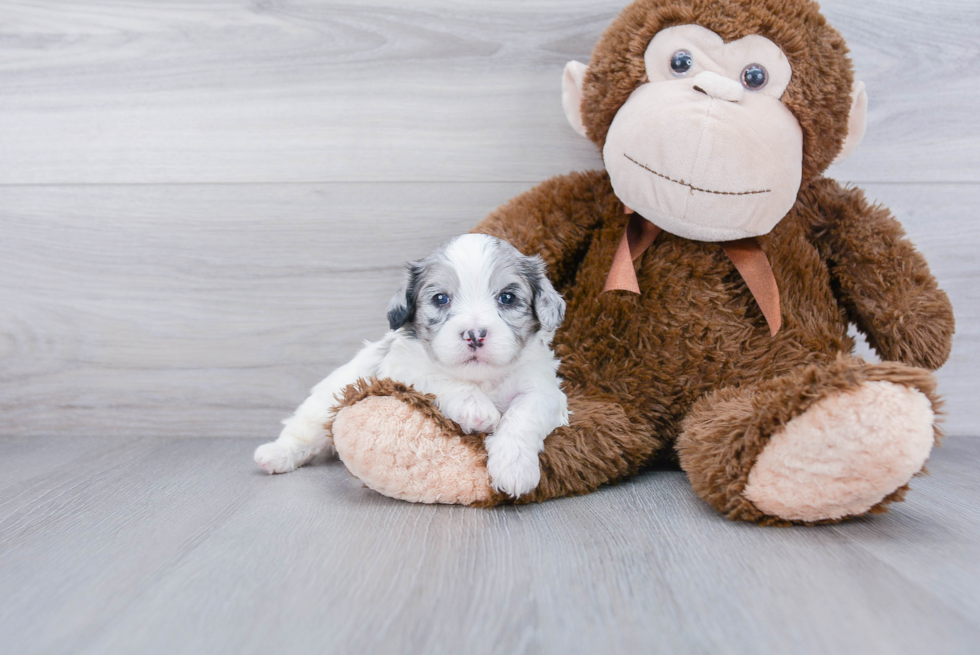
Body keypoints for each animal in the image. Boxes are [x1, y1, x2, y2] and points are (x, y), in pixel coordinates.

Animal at [256, 234, 572, 498]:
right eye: (440, 298)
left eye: (507, 298)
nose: (474, 334)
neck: (480, 380)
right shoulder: (402, 370)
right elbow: (439, 379)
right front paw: (476, 409)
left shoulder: (543, 390)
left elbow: (523, 416)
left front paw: (514, 467)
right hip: (322, 405)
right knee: (302, 432)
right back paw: (275, 455)